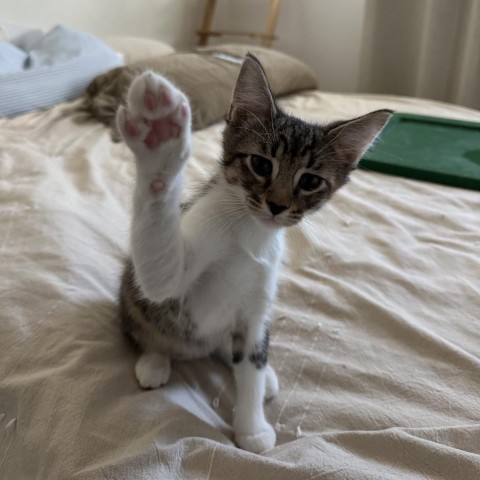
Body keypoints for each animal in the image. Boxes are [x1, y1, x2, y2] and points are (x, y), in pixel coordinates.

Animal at [117, 54, 394, 452]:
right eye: (261, 164)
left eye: (310, 181)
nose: (277, 206)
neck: (250, 232)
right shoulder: (174, 270)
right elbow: (159, 274)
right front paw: (161, 139)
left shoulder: (257, 304)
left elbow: (251, 359)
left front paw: (251, 427)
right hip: (132, 295)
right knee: (145, 325)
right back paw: (155, 360)